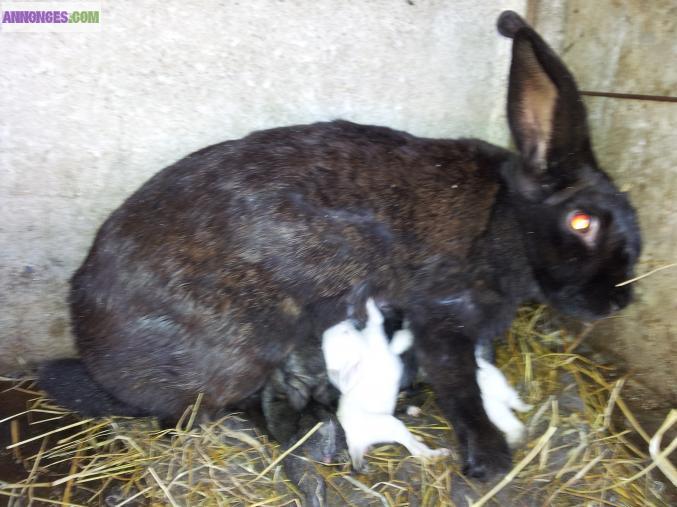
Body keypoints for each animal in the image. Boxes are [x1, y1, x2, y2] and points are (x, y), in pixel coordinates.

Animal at [39, 10, 641, 480]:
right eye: (582, 222)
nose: (619, 300)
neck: (503, 220)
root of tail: (88, 338)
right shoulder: (442, 316)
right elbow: (461, 386)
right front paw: (489, 459)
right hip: (240, 352)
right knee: (188, 413)